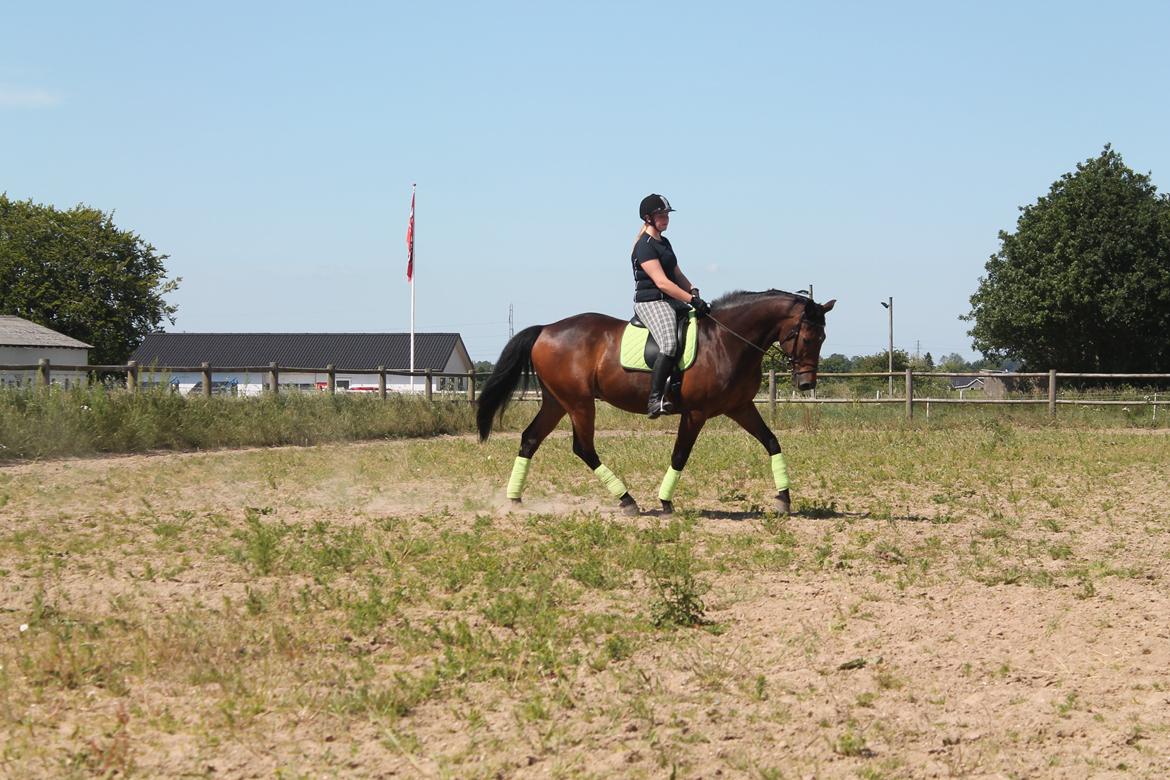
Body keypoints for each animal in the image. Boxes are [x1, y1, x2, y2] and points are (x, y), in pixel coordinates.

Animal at [472, 290, 833, 514]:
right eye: (808, 337)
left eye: (823, 338)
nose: (806, 384)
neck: (726, 341)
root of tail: (546, 329)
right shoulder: (696, 413)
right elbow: (680, 455)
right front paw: (665, 502)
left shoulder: (740, 407)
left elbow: (772, 442)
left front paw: (784, 498)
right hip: (579, 403)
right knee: (583, 448)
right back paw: (627, 500)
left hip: (556, 402)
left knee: (530, 439)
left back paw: (515, 499)